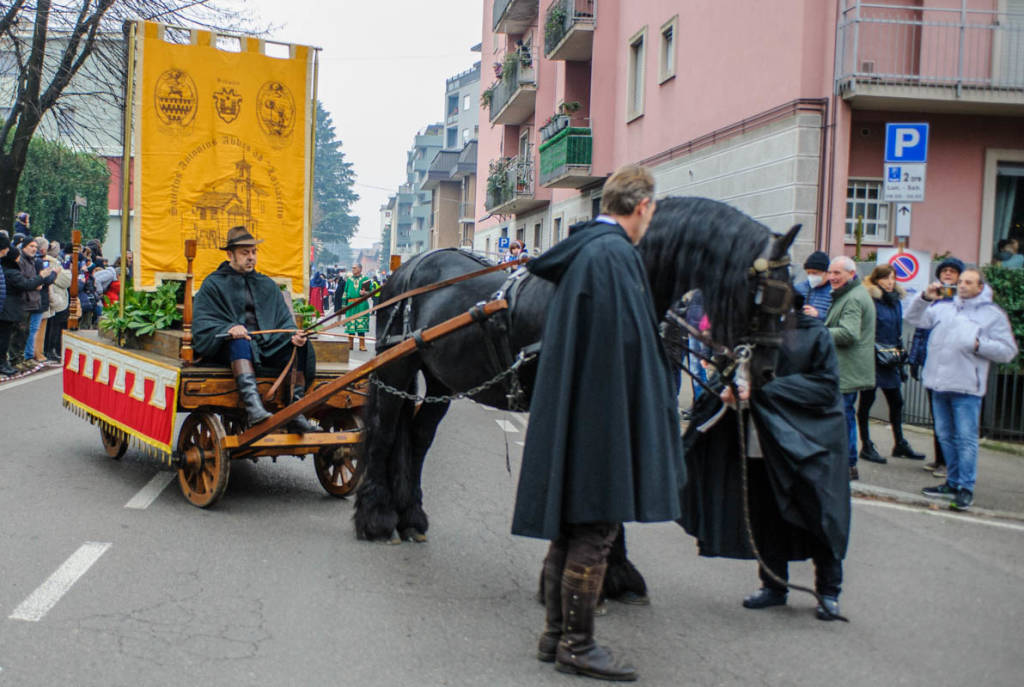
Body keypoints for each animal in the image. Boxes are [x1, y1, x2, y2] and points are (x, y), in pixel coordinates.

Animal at [354, 197, 798, 581]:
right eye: (766, 293)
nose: (768, 370)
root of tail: (408, 268)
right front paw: (605, 569)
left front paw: (611, 570)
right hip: (395, 367)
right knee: (385, 433)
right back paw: (376, 518)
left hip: (443, 379)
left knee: (417, 439)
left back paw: (411, 517)